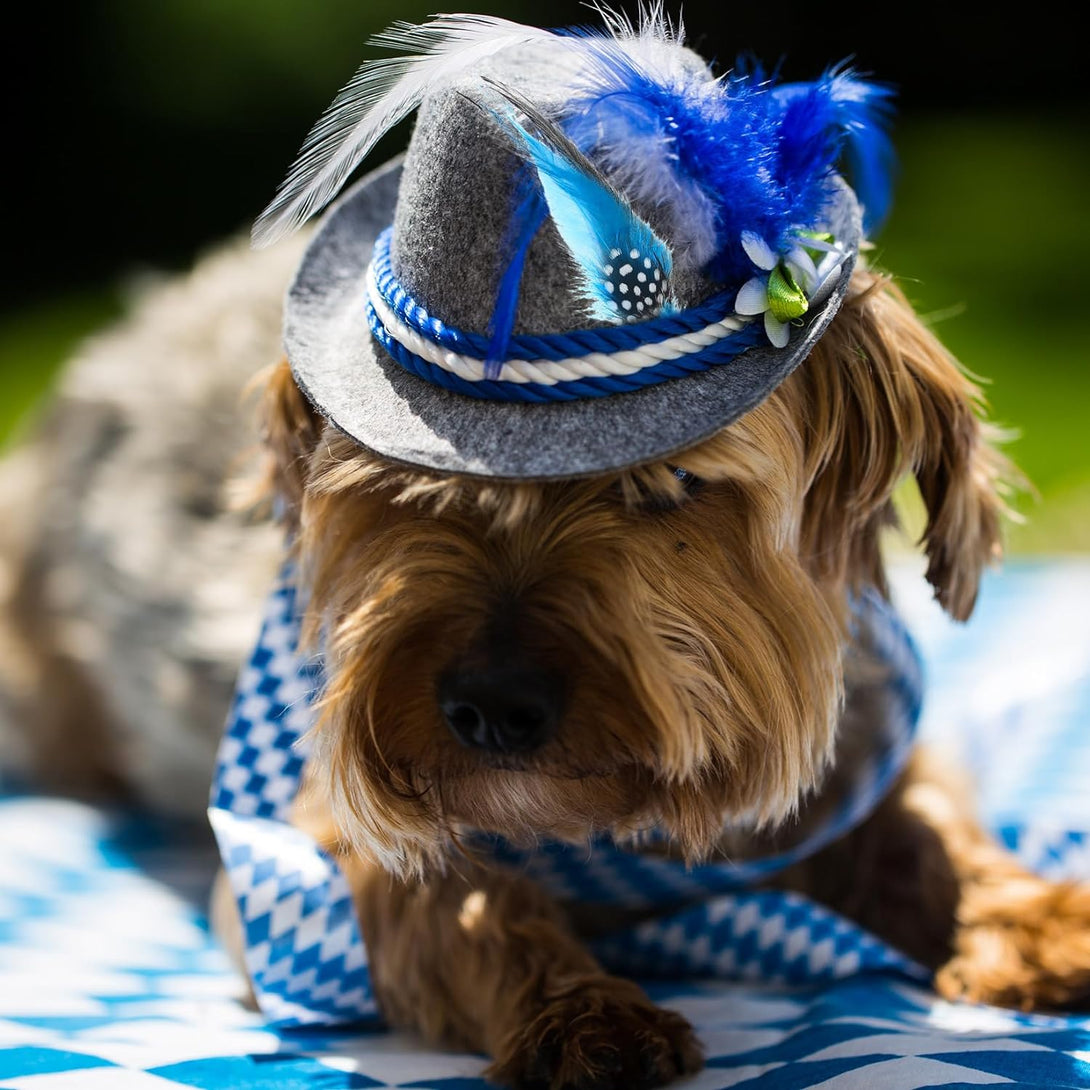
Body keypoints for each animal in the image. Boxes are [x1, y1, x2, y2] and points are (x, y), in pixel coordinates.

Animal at [6, 10, 1090, 1090]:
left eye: (665, 486)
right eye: (409, 487)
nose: (490, 706)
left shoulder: (857, 758)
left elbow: (926, 829)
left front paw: (1038, 920)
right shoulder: (311, 861)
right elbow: (464, 900)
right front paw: (580, 1010)